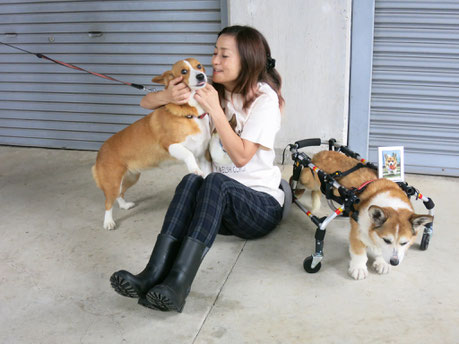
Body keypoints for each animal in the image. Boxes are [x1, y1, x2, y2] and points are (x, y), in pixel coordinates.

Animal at [92, 57, 214, 230]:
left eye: (199, 66)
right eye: (183, 71)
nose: (201, 76)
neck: (191, 114)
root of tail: (101, 150)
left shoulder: (203, 155)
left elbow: (207, 172)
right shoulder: (171, 146)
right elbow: (188, 154)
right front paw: (194, 169)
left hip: (131, 177)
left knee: (119, 194)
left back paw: (124, 205)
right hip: (113, 181)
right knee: (108, 202)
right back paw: (108, 222)